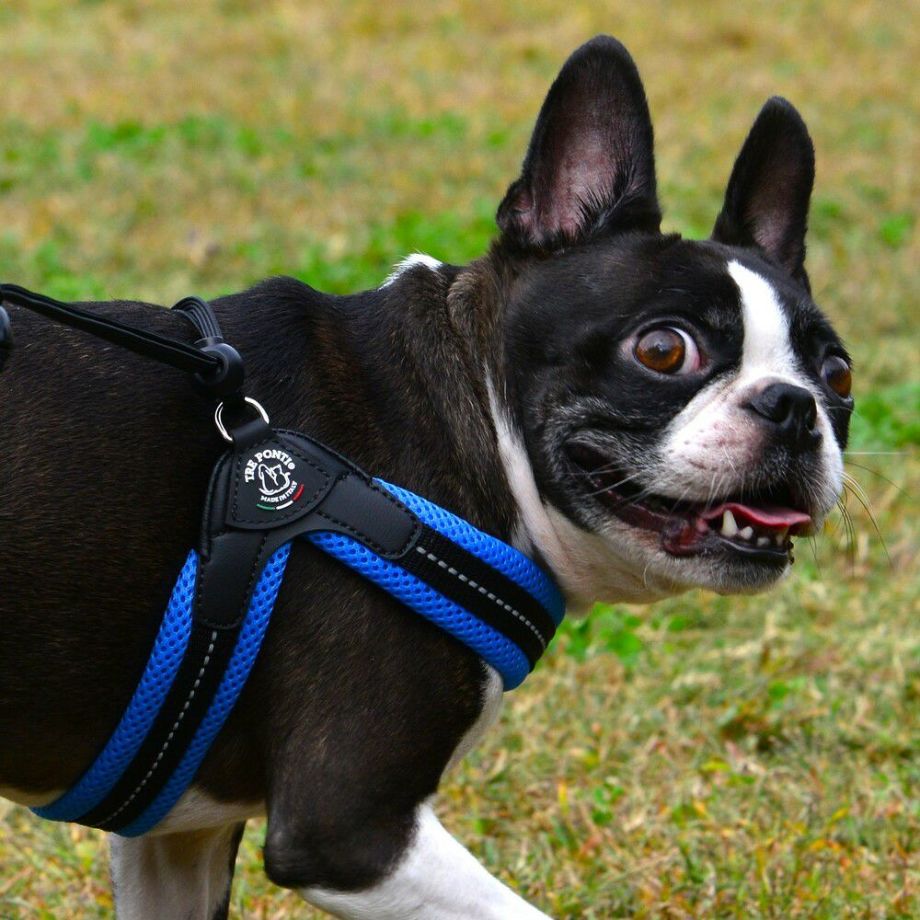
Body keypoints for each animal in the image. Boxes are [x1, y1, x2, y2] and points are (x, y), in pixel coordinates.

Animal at [0, 34, 852, 920]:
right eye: (663, 349)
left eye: (839, 374)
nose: (793, 406)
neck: (463, 414)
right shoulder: (349, 828)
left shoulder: (177, 837)